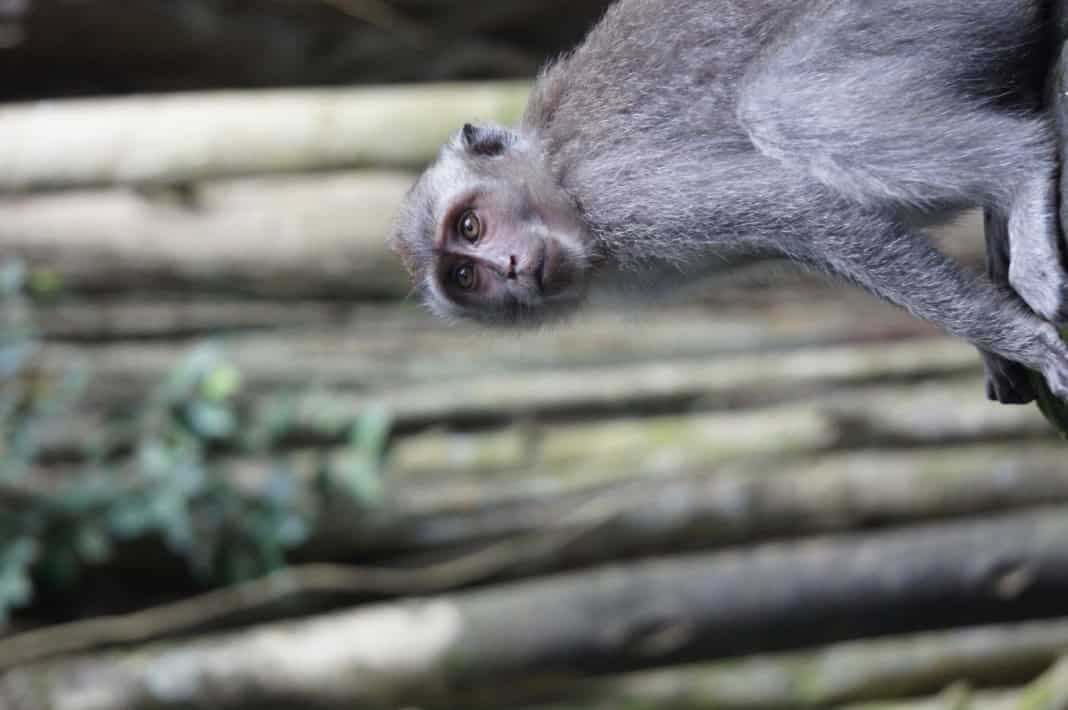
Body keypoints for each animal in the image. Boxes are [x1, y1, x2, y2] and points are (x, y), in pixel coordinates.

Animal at [391, 0, 1068, 405]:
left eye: (470, 226)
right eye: (463, 275)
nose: (505, 268)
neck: (556, 179)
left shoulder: (625, 195)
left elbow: (807, 210)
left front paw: (1019, 340)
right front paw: (994, 346)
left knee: (783, 110)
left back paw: (1021, 169)